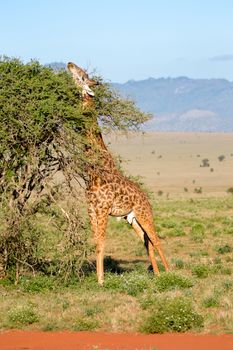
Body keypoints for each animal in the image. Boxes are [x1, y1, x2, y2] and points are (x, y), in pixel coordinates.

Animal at [66, 60, 168, 284]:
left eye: (82, 76)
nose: (69, 64)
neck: (94, 173)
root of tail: (146, 197)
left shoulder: (103, 209)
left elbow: (102, 242)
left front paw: (102, 281)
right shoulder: (91, 209)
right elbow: (96, 242)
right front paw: (98, 279)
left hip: (144, 214)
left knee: (156, 239)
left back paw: (170, 272)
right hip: (132, 220)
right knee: (146, 242)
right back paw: (157, 274)